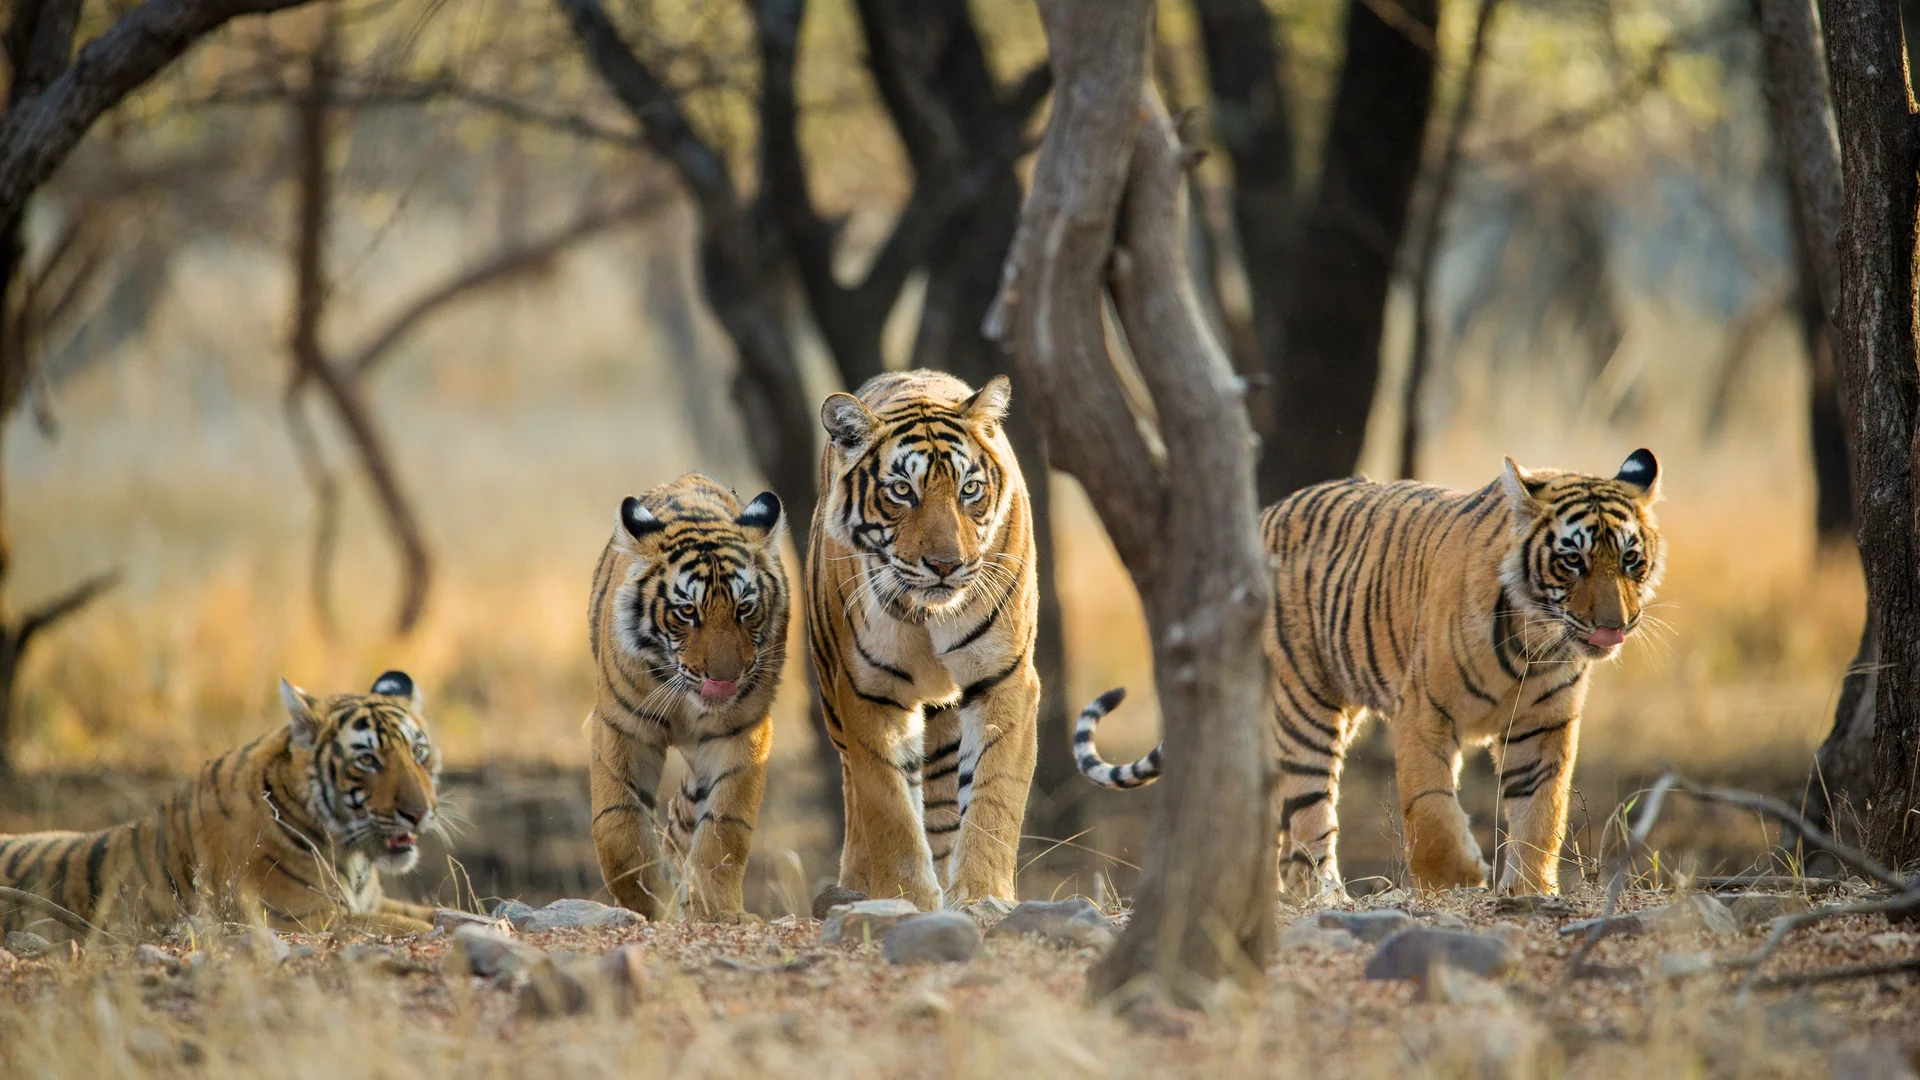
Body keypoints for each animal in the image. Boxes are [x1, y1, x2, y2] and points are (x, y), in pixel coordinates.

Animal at [0, 671, 441, 937]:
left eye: (419, 753)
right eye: (367, 760)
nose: (419, 813)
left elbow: (436, 913)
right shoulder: (304, 917)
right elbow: (410, 925)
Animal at [587, 472, 788, 921]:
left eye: (744, 609)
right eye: (687, 612)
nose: (725, 681)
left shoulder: (741, 731)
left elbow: (724, 828)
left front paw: (715, 911)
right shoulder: (622, 726)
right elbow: (618, 827)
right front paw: (648, 902)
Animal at [807, 370, 1040, 910]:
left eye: (969, 489)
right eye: (901, 491)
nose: (945, 565)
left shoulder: (1004, 677)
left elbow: (993, 794)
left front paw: (981, 895)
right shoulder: (869, 691)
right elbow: (888, 807)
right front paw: (906, 897)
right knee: (857, 794)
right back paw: (853, 885)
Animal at [1074, 450, 1666, 897]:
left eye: (1630, 560)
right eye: (1573, 561)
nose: (1614, 626)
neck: (1535, 642)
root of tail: (1262, 516)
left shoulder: (1543, 727)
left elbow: (1542, 812)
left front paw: (1530, 890)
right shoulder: (1423, 712)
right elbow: (1430, 807)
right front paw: (1456, 879)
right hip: (1305, 707)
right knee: (1309, 817)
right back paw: (1325, 897)